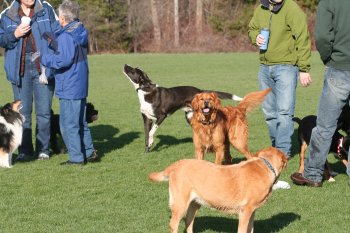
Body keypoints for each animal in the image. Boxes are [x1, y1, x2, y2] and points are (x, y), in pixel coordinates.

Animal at [148, 147, 288, 232]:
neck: (266, 166)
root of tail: (176, 164)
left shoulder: (252, 211)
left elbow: (251, 229)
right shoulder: (245, 210)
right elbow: (243, 230)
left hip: (194, 203)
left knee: (189, 222)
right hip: (180, 204)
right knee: (174, 224)